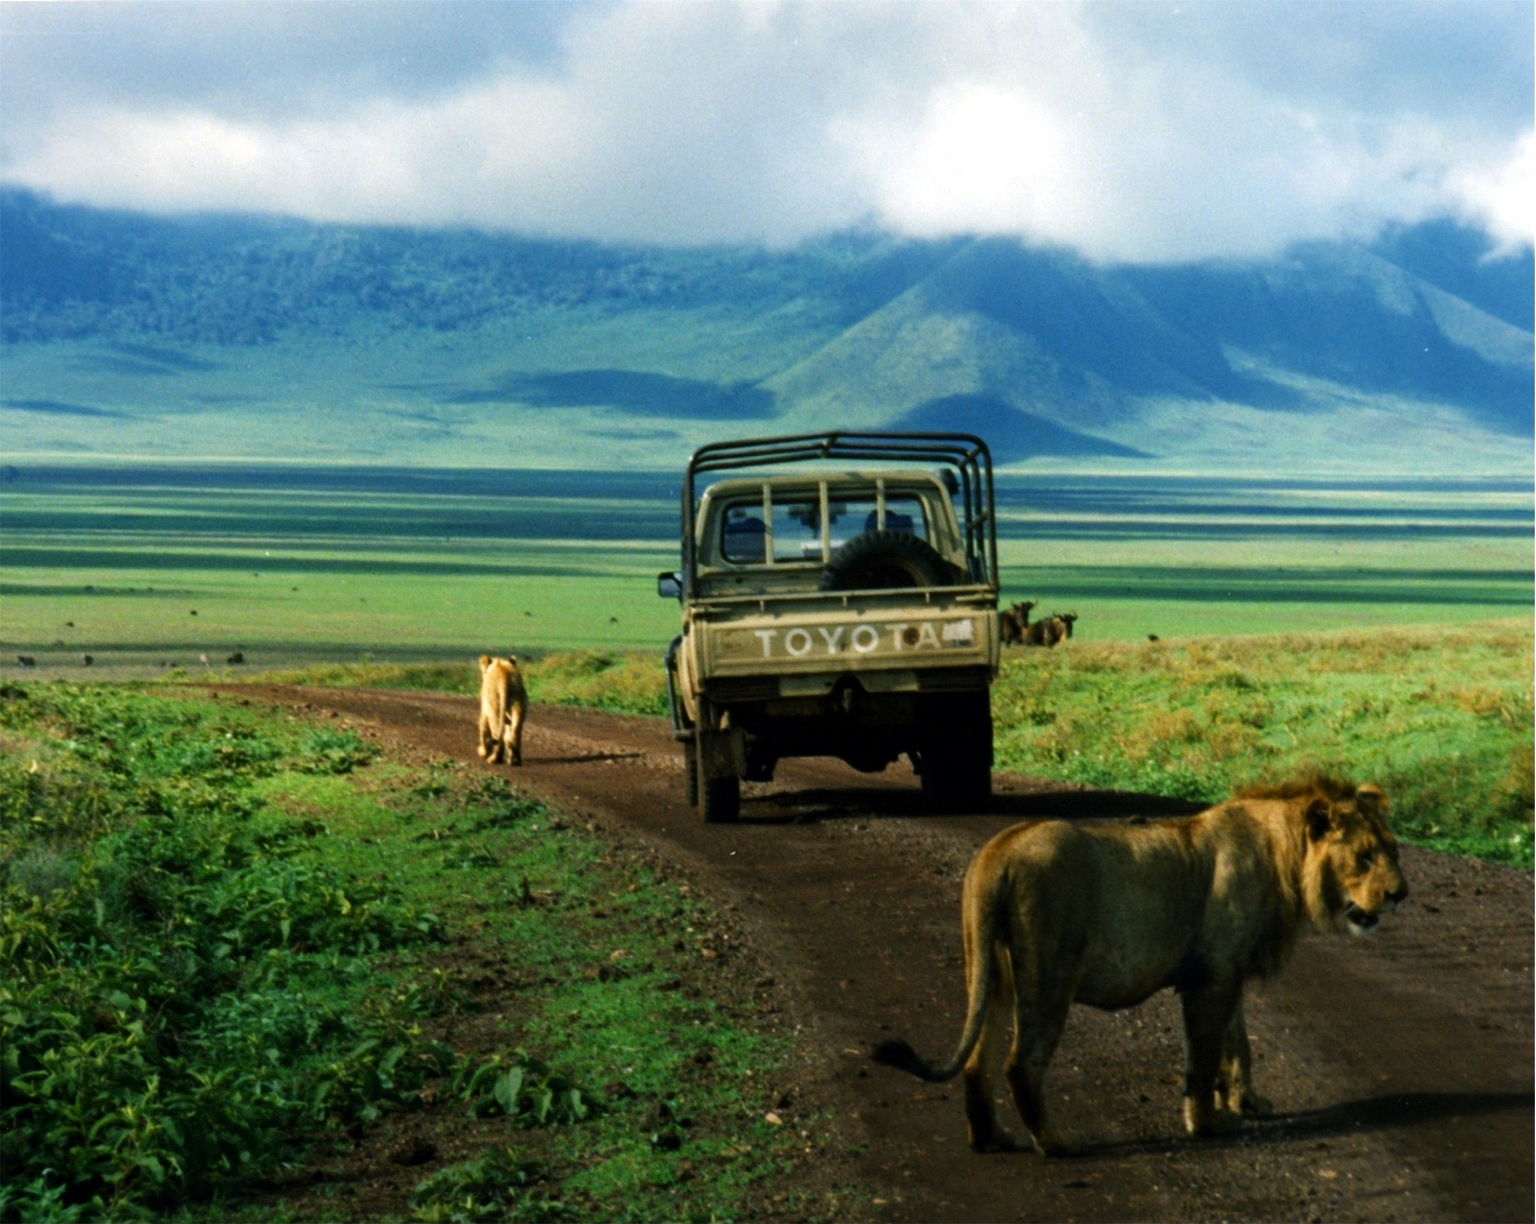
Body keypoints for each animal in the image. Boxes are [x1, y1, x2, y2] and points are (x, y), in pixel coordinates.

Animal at [878, 774, 1406, 1154]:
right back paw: (1058, 1144)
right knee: (1021, 1064)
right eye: (1363, 856)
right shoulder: (1210, 974)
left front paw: (1246, 1102)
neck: (1284, 854)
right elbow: (1205, 1054)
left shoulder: (1227, 968)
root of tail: (998, 852)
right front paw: (1207, 1123)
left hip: (990, 971)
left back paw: (993, 1138)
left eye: (1394, 849)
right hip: (1050, 974)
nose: (1401, 894)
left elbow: (1238, 1043)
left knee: (976, 1061)